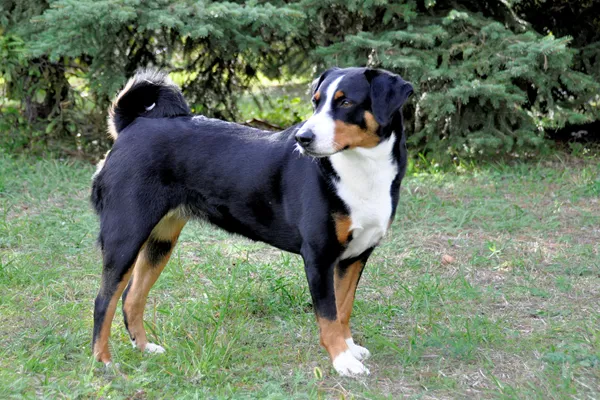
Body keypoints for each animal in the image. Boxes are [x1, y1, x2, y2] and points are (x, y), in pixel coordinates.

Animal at [91, 65, 412, 376]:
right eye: (316, 102)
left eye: (345, 103)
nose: (303, 138)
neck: (362, 170)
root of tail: (133, 125)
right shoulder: (319, 256)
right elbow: (328, 315)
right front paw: (342, 360)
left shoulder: (355, 256)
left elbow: (343, 308)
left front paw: (350, 348)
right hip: (126, 235)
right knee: (104, 301)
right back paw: (103, 363)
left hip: (160, 240)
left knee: (131, 298)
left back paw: (145, 348)